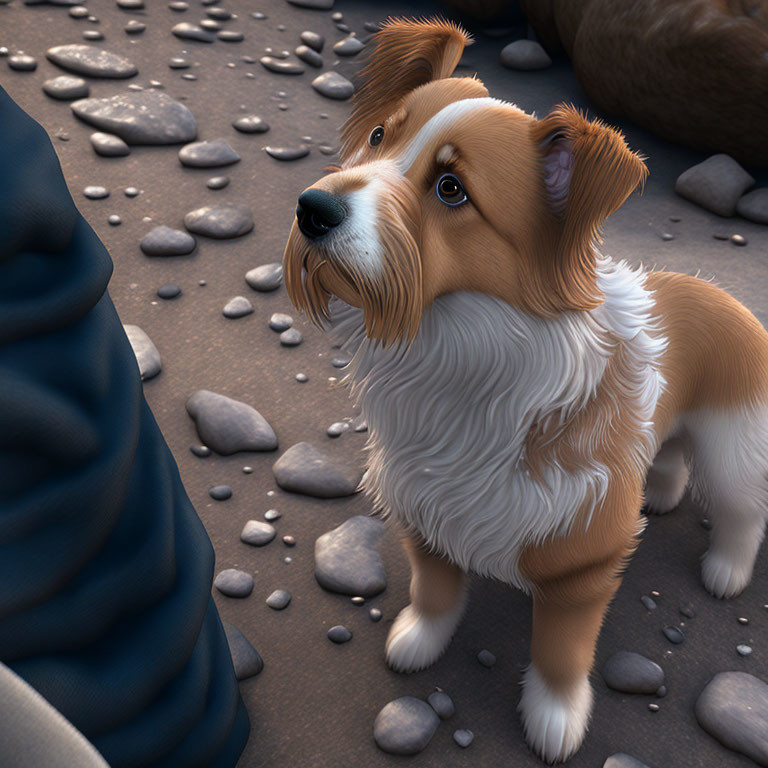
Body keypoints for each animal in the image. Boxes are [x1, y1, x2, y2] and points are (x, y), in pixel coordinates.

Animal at [280, 16, 768, 760]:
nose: (312, 209)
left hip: (734, 445)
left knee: (744, 511)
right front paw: (418, 641)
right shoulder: (423, 509)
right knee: (669, 455)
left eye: (451, 188)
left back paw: (727, 570)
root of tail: (723, 294)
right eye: (379, 136)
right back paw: (658, 493)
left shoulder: (581, 563)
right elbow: (434, 590)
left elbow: (561, 650)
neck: (459, 351)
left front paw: (554, 718)